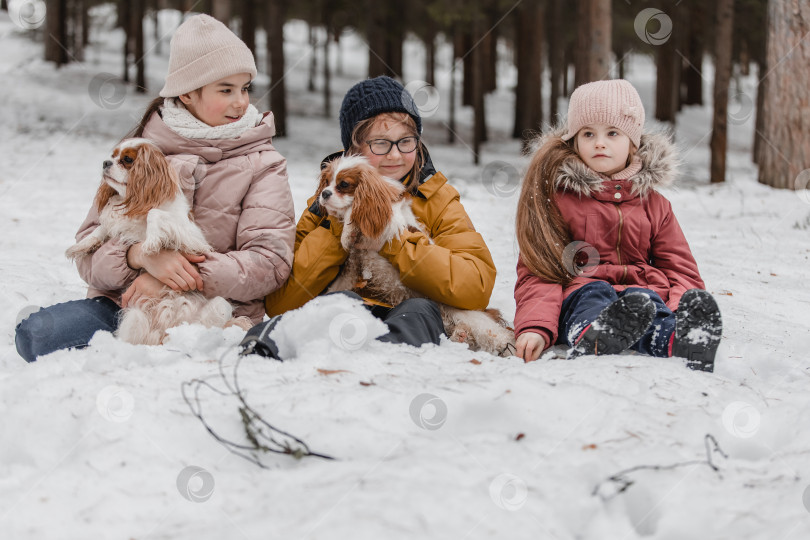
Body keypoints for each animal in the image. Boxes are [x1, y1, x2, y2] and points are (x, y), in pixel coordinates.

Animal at [66, 139, 241, 346]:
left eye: (127, 159)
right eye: (112, 156)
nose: (105, 163)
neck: (135, 204)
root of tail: (166, 329)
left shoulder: (192, 236)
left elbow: (154, 213)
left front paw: (151, 243)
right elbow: (100, 229)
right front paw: (81, 246)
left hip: (220, 304)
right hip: (134, 316)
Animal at [316, 155, 512, 358]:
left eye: (344, 184)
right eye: (327, 182)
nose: (324, 193)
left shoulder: (390, 221)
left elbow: (353, 210)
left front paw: (347, 232)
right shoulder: (353, 267)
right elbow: (338, 287)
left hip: (467, 314)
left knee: (495, 333)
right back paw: (461, 335)